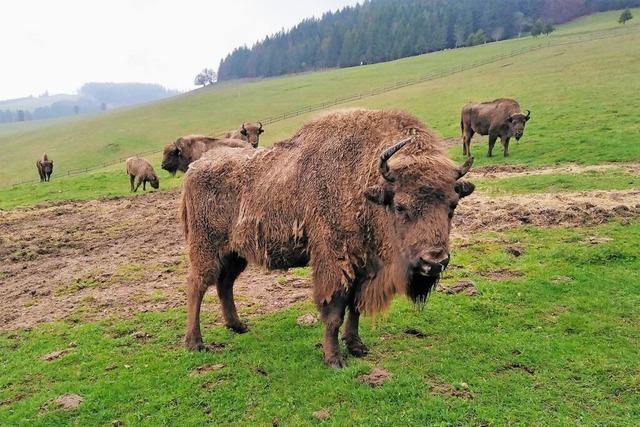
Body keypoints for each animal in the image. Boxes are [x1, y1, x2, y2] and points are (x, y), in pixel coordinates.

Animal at [180, 109, 476, 368]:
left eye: (452, 205)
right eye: (400, 206)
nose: (433, 262)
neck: (364, 183)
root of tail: (195, 168)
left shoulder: (363, 267)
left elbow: (354, 308)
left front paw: (356, 346)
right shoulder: (334, 262)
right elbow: (334, 311)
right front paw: (334, 359)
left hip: (235, 253)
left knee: (224, 284)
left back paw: (238, 326)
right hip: (206, 248)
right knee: (197, 285)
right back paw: (195, 343)